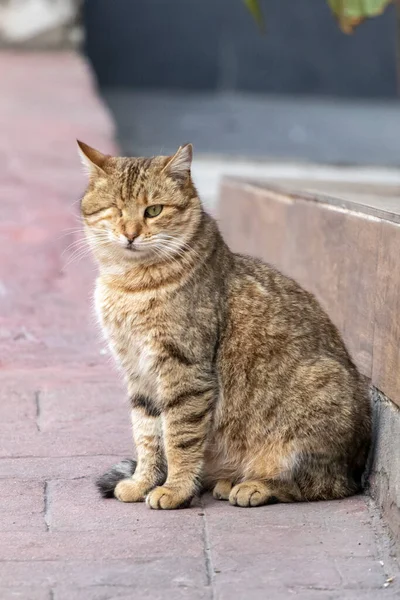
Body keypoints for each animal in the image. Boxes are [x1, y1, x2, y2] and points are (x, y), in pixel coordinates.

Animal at [78, 142, 372, 510]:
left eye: (153, 210)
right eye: (116, 209)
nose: (130, 234)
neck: (129, 283)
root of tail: (358, 464)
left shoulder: (184, 368)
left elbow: (178, 438)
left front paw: (175, 489)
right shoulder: (137, 371)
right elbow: (146, 435)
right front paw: (142, 482)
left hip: (319, 397)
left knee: (322, 485)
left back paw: (255, 486)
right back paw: (227, 480)